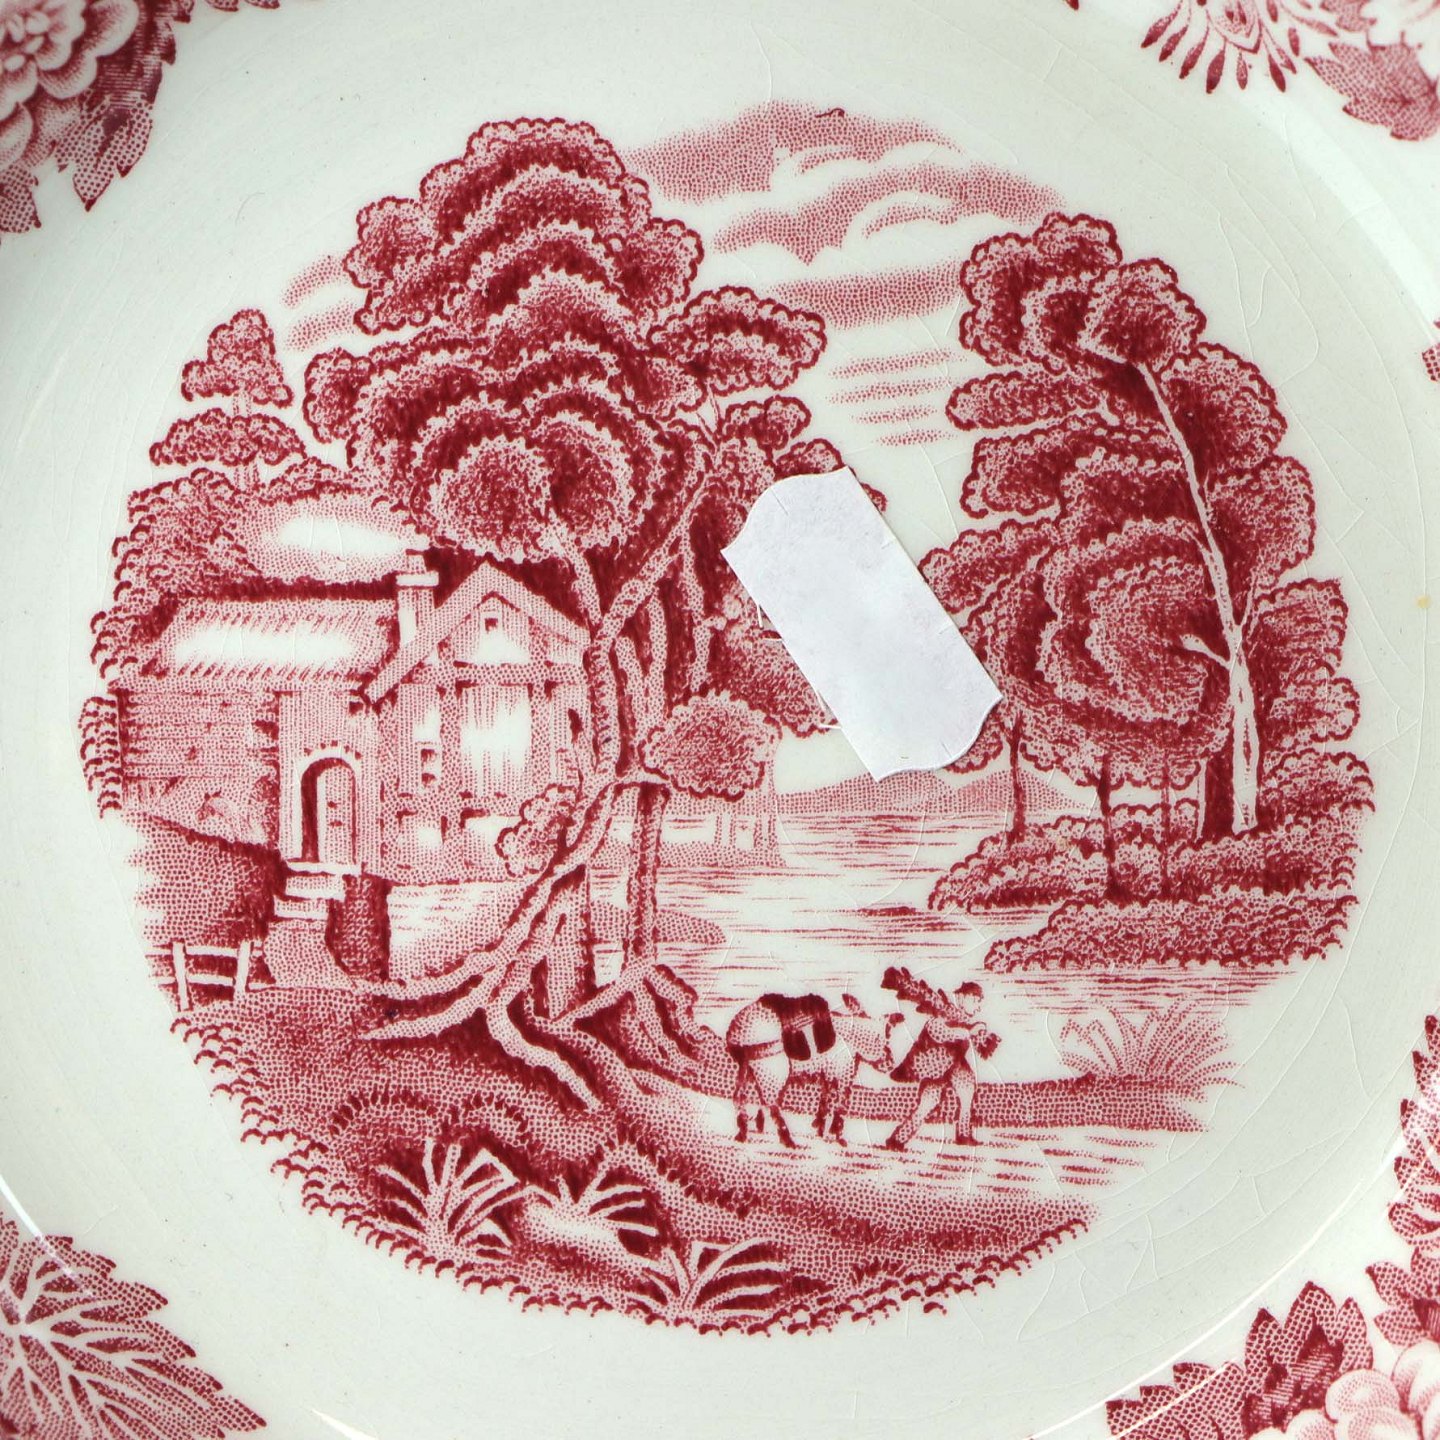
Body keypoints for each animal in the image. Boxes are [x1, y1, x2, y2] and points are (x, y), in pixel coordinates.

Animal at [725, 992, 904, 1147]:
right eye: (886, 1037)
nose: (890, 1063)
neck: (850, 1037)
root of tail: (739, 1031)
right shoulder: (844, 1075)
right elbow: (839, 1106)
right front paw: (836, 1136)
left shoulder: (828, 1075)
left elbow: (825, 1102)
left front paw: (820, 1130)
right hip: (772, 1073)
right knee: (771, 1105)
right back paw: (788, 1140)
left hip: (747, 1070)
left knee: (740, 1098)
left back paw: (743, 1134)